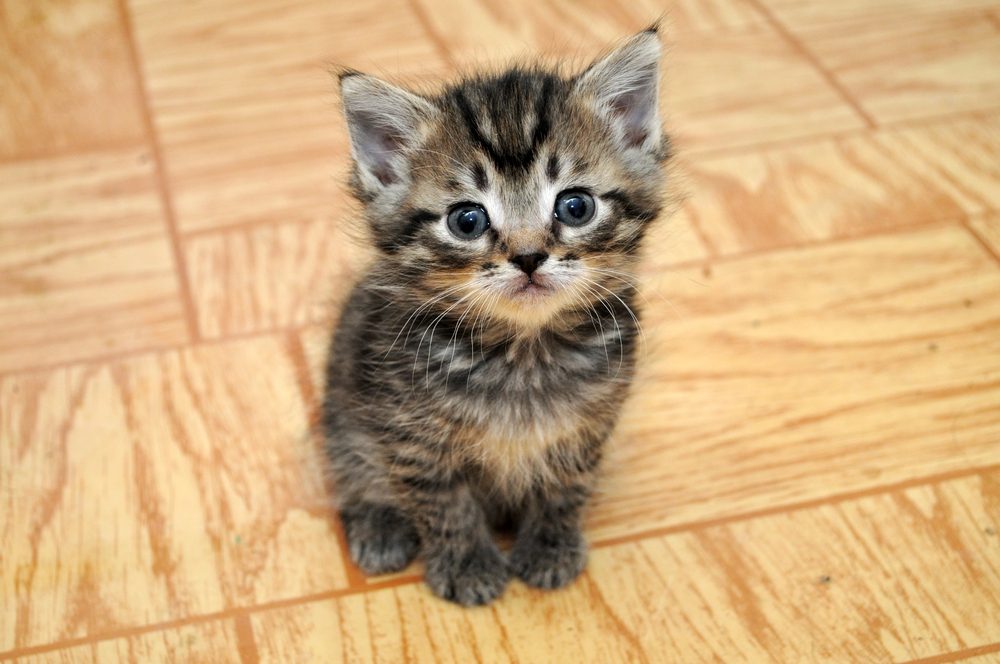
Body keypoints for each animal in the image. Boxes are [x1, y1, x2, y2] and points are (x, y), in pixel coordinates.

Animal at [324, 28, 672, 604]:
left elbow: (566, 488)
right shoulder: (410, 435)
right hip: (342, 409)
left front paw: (551, 545)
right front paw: (467, 564)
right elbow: (445, 504)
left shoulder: (590, 425)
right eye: (467, 220)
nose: (529, 257)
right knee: (352, 465)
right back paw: (380, 526)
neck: (523, 354)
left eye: (575, 207)